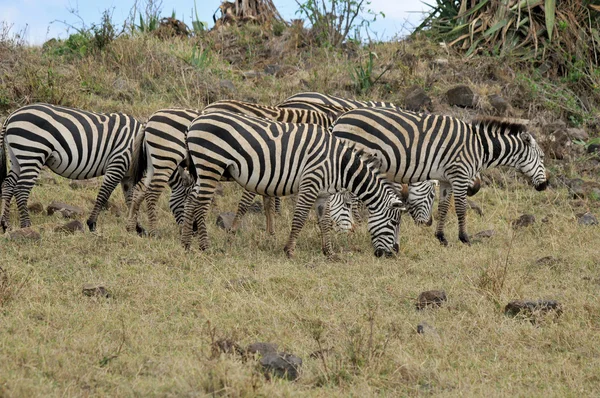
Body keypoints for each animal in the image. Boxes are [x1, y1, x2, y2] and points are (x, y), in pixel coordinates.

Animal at [0, 103, 143, 233]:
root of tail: (11, 116)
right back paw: (26, 225)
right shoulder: (119, 161)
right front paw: (92, 224)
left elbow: (131, 200)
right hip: (32, 152)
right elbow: (104, 194)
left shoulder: (128, 175)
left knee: (8, 185)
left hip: (16, 158)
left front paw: (136, 228)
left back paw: (5, 224)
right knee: (21, 189)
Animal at [182, 112, 408, 260]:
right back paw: (205, 246)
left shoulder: (323, 193)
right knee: (201, 206)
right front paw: (289, 251)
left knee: (191, 201)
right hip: (211, 164)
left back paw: (186, 244)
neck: (339, 164)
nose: (392, 255)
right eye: (394, 223)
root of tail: (194, 122)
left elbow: (325, 222)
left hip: (203, 170)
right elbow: (299, 219)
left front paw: (329, 253)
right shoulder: (310, 183)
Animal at [330, 109, 548, 246]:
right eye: (542, 157)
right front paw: (464, 238)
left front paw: (441, 238)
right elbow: (460, 208)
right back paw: (356, 228)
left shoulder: (445, 179)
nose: (545, 185)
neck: (480, 147)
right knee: (350, 199)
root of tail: (339, 120)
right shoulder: (460, 174)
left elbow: (443, 208)